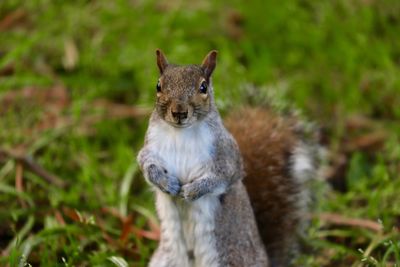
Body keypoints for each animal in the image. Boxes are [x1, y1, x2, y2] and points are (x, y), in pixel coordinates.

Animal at [138, 49, 318, 266]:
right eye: (159, 85)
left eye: (203, 87)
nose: (179, 112)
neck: (181, 133)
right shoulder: (151, 148)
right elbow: (147, 165)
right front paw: (166, 183)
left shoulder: (227, 156)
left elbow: (223, 177)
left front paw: (193, 191)